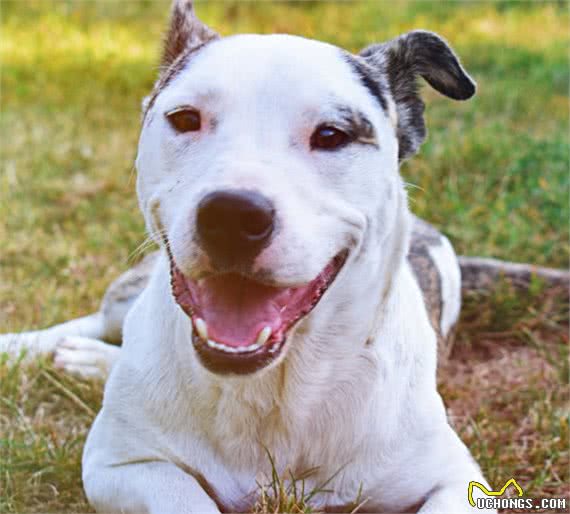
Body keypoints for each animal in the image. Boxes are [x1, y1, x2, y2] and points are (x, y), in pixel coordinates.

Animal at [5, 2, 496, 510]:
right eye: (185, 118)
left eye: (332, 134)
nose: (232, 216)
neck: (274, 388)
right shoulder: (118, 464)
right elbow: (183, 493)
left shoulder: (456, 480)